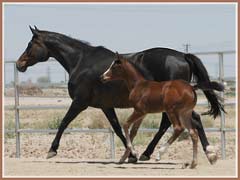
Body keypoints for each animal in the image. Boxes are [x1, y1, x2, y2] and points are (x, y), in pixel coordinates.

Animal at [16, 26, 223, 163]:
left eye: (30, 44)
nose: (19, 64)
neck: (81, 61)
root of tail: (183, 55)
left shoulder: (79, 102)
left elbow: (64, 122)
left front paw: (51, 150)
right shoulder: (106, 106)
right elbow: (117, 128)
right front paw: (130, 154)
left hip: (172, 104)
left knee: (180, 122)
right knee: (185, 121)